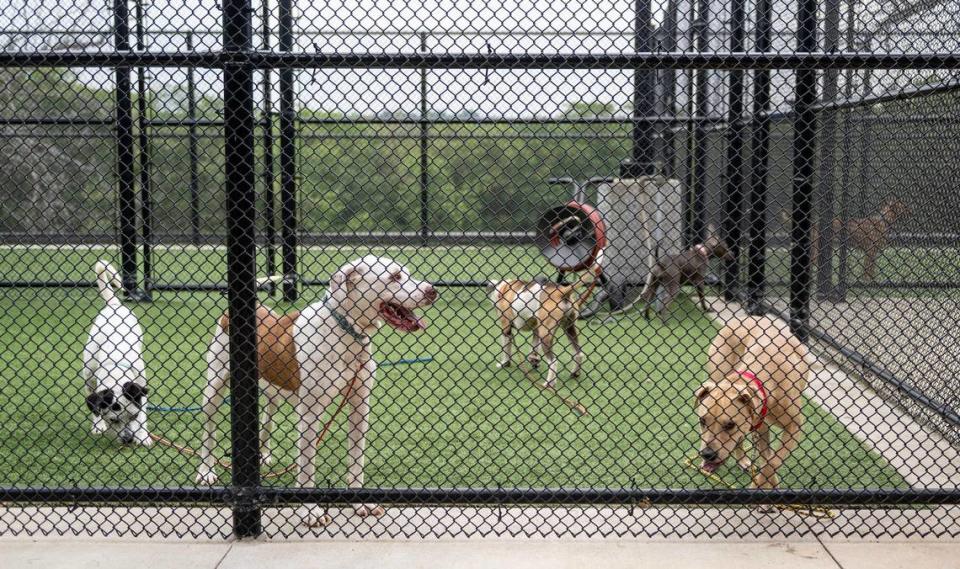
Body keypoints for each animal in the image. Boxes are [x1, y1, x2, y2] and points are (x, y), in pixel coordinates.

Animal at [195, 255, 436, 524]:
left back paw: (263, 456)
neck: (347, 331)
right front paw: (311, 511)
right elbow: (307, 466)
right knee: (209, 430)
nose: (432, 290)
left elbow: (357, 459)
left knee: (267, 418)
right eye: (394, 276)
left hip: (270, 389)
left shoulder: (360, 406)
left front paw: (360, 502)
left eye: (407, 272)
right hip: (214, 386)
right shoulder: (309, 414)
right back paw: (206, 471)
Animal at [692, 316, 808, 488]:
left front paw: (763, 484)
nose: (707, 454)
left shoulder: (793, 426)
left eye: (730, 425)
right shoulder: (761, 424)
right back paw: (742, 460)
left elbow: (771, 462)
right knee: (740, 440)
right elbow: (767, 459)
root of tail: (739, 318)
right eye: (702, 421)